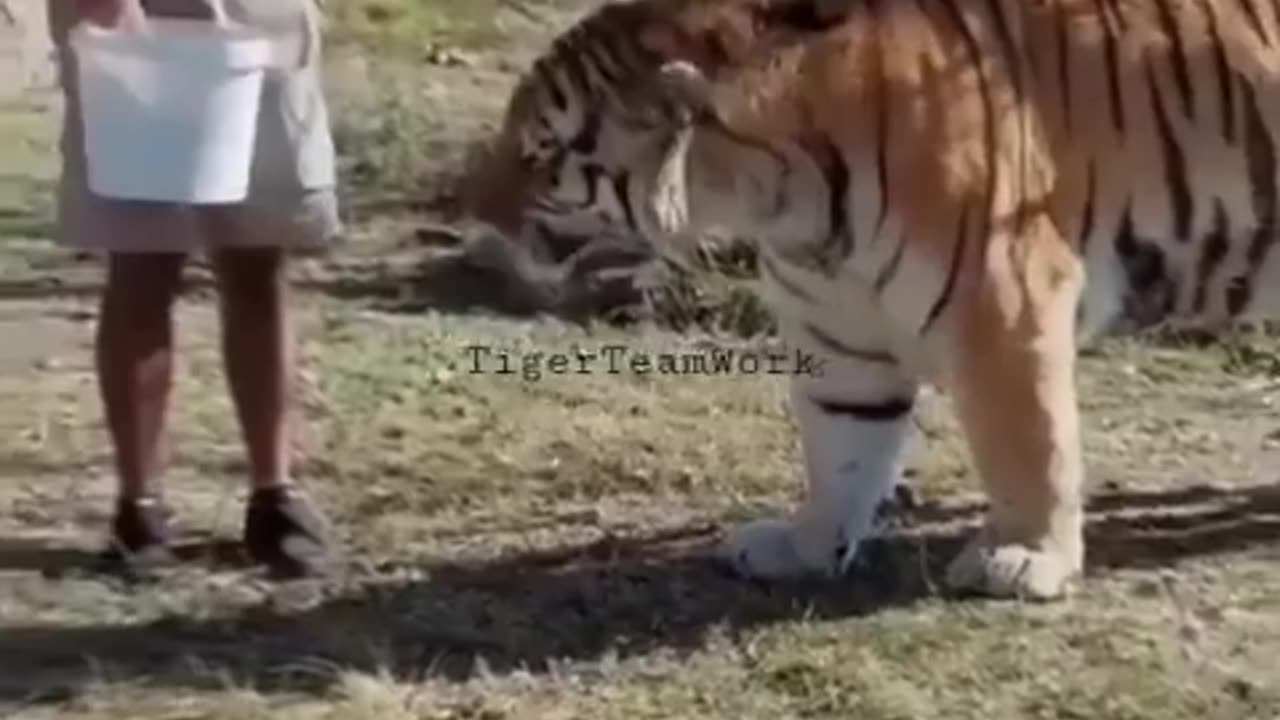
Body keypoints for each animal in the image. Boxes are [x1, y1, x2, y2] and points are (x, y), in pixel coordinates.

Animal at [465, 0, 1280, 599]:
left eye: (541, 154)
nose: (471, 209)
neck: (777, 204)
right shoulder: (839, 334)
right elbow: (842, 447)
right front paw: (805, 545)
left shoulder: (1005, 304)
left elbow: (1029, 441)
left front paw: (1024, 558)